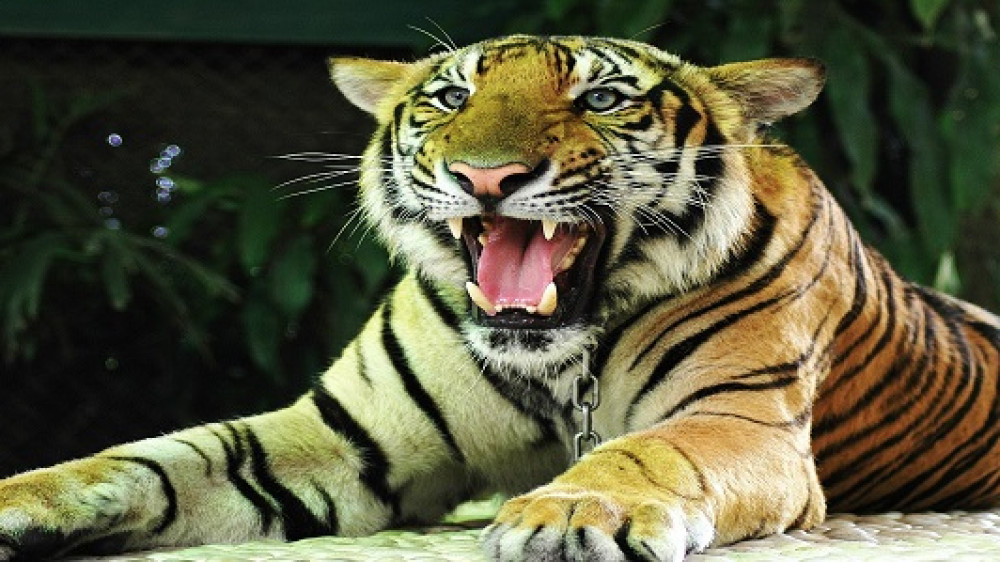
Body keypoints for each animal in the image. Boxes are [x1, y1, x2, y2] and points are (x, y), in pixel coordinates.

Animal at [2, 33, 1000, 562]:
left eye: (602, 98)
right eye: (449, 97)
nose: (487, 177)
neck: (562, 360)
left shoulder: (741, 422)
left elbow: (647, 452)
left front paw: (571, 512)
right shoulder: (341, 436)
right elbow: (156, 458)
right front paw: (24, 495)